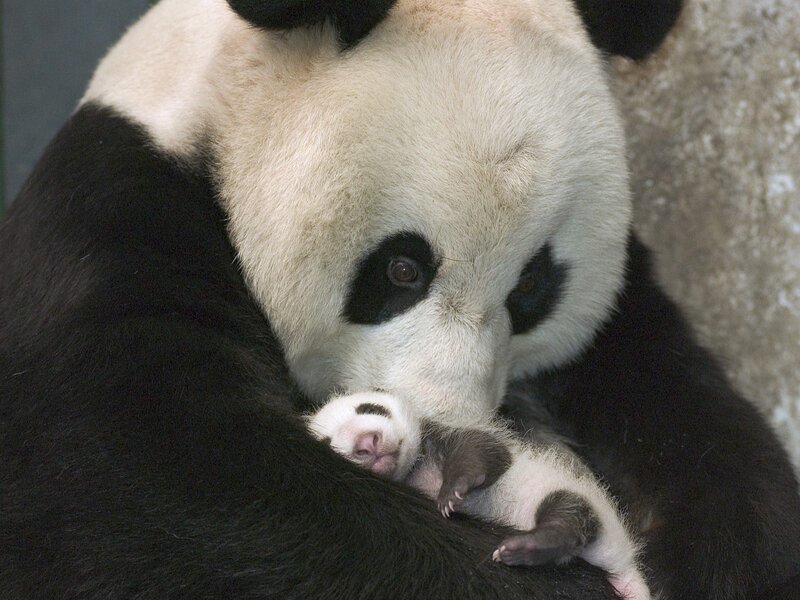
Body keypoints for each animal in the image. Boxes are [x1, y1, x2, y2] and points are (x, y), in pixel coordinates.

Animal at [1, 0, 799, 599]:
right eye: (403, 269)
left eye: (532, 286)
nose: (446, 420)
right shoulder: (113, 225)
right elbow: (160, 491)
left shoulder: (621, 318)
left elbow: (696, 431)